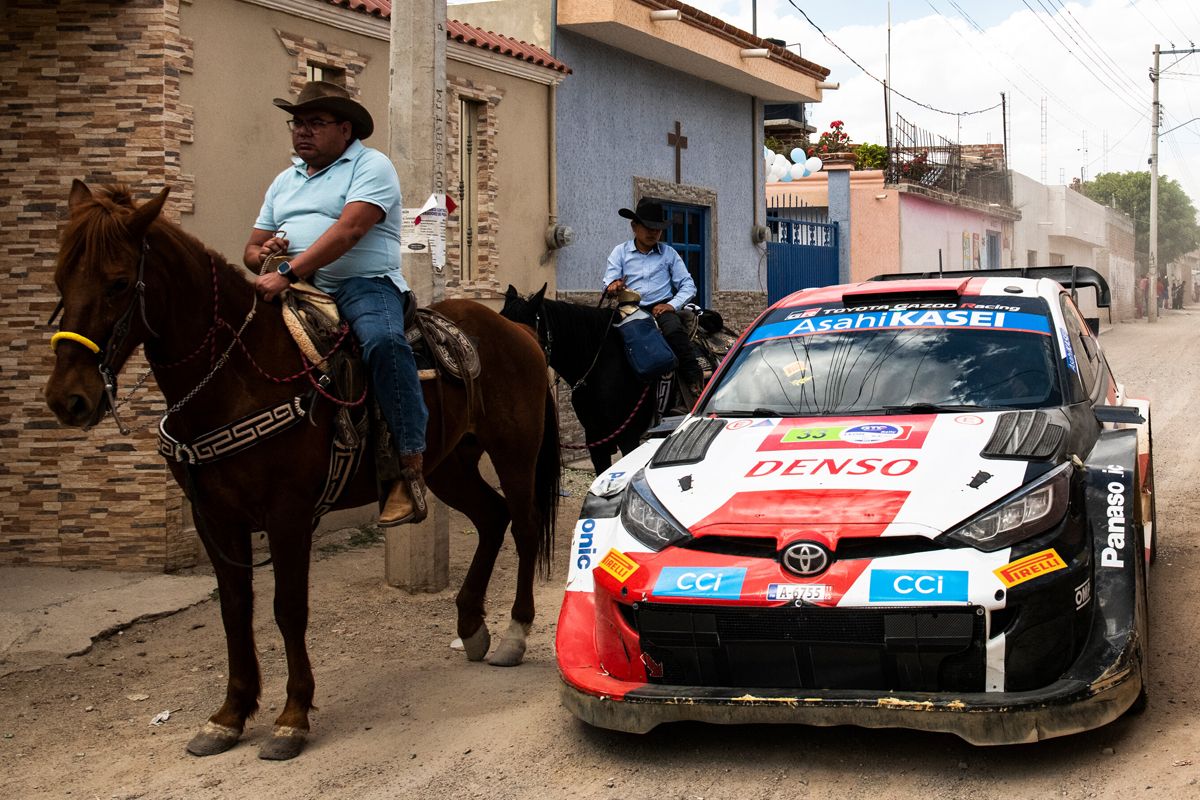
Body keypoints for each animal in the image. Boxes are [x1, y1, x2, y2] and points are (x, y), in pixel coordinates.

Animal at [42, 183, 556, 762]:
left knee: (523, 525)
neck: (238, 376)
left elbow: (288, 608)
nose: (68, 399)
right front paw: (229, 715)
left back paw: (514, 633)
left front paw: (291, 718)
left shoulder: (287, 514)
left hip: (515, 454)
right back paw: (471, 625)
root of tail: (516, 330)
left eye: (119, 282)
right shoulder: (214, 518)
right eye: (60, 278)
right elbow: (235, 609)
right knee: (491, 518)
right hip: (449, 464)